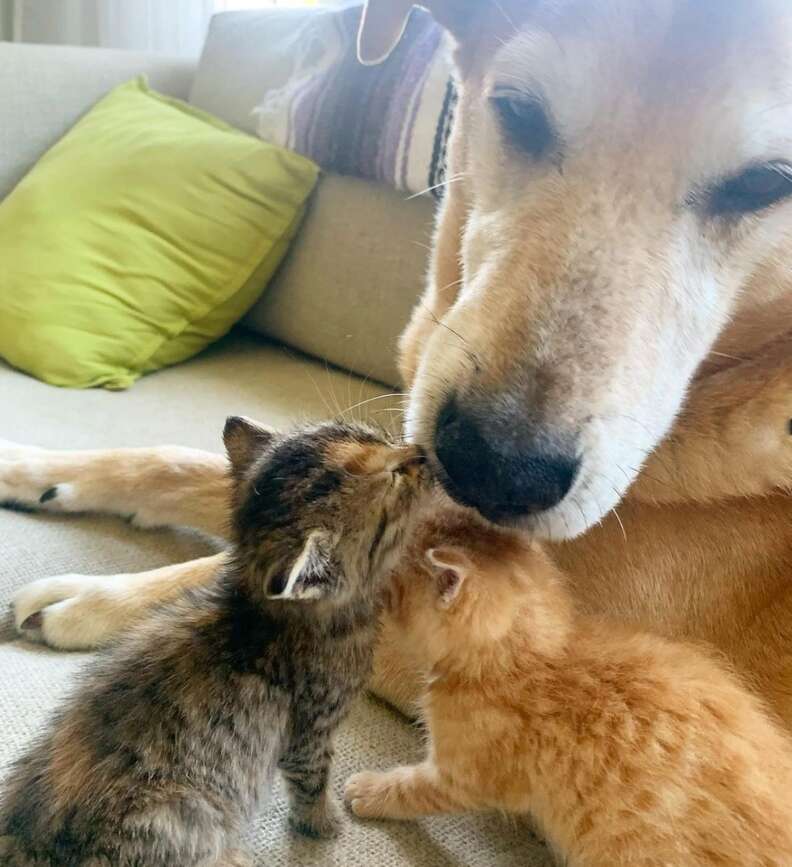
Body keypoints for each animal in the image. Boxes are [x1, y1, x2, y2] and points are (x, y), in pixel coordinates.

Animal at [0, 416, 426, 867]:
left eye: (372, 435)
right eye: (395, 477)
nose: (422, 452)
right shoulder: (311, 727)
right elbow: (312, 781)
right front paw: (323, 823)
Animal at [1, 0, 792, 724]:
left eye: (768, 183)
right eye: (517, 111)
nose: (490, 470)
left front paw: (98, 597)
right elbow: (179, 463)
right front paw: (34, 469)